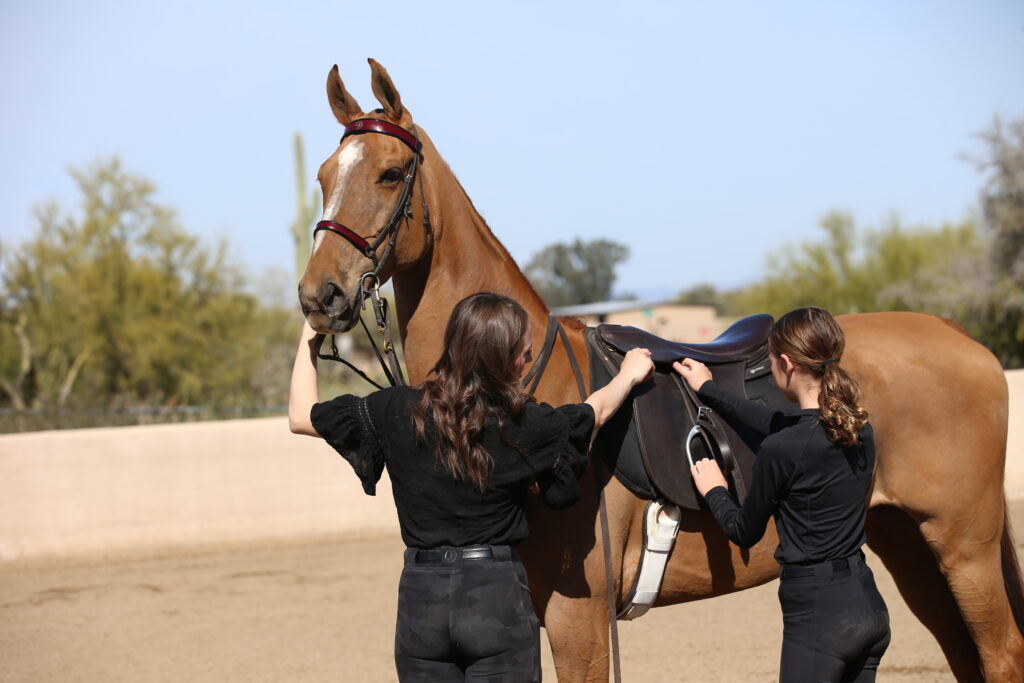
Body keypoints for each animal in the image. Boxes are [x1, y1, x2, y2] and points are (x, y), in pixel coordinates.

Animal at [299, 60, 1024, 683]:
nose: (319, 295)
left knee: (1001, 652)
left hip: (963, 545)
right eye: (324, 174)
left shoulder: (580, 617)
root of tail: (960, 336)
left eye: (390, 173)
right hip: (905, 541)